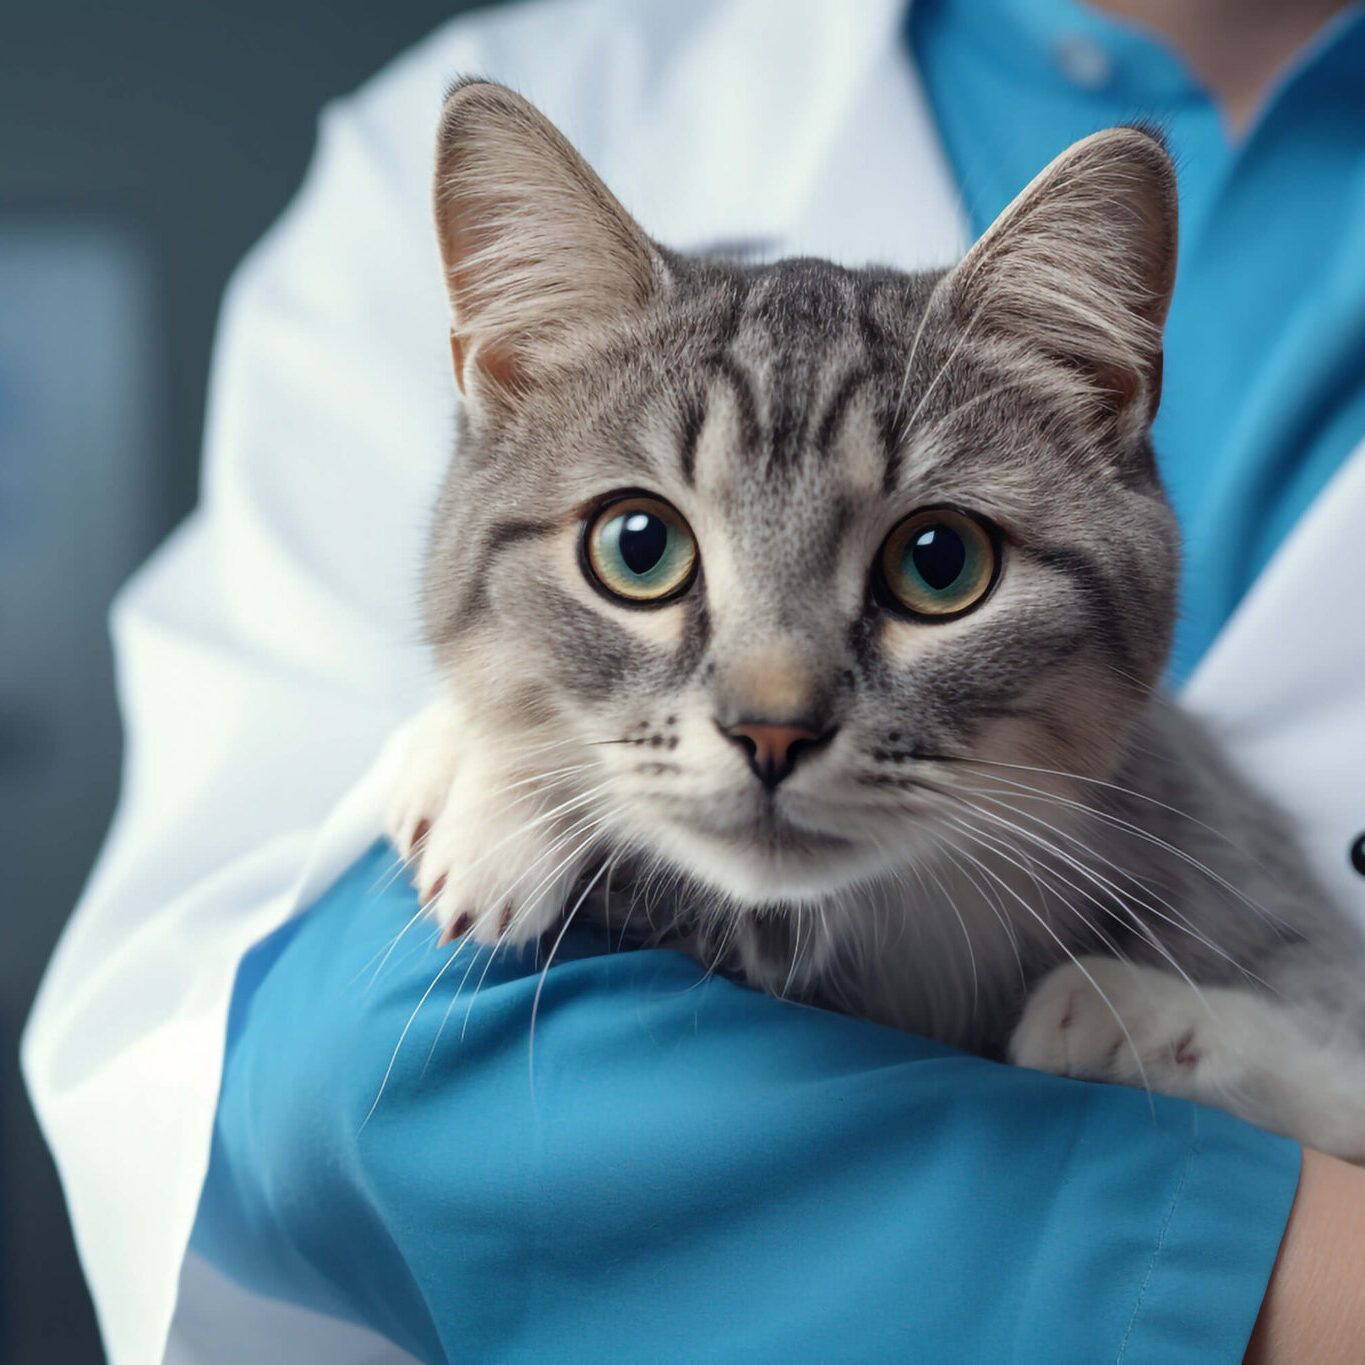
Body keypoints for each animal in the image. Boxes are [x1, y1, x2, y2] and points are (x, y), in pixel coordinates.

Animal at [382, 79, 1365, 1157]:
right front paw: (481, 781)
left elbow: (1333, 1062)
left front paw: (1138, 1016)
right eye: (638, 546)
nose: (771, 730)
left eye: (939, 562)